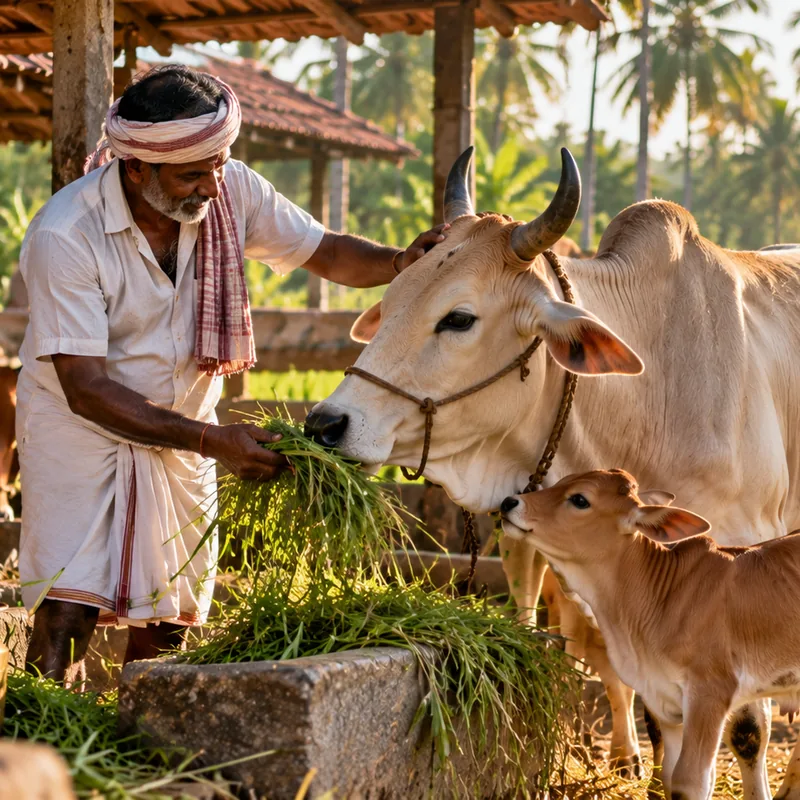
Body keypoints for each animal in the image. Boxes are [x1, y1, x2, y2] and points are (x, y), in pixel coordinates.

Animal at [305, 146, 800, 798]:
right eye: (389, 305)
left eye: (458, 318)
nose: (326, 424)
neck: (651, 390)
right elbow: (654, 715)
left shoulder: (745, 554)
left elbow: (747, 730)